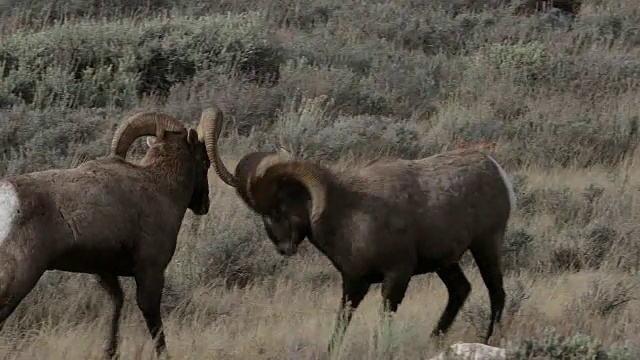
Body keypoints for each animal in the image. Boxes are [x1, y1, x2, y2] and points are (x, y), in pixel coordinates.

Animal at [0, 109, 220, 358]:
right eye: (205, 162)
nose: (204, 205)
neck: (160, 187)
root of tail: (7, 197)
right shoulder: (150, 272)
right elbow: (153, 322)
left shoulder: (104, 272)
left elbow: (116, 304)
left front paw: (110, 352)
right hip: (21, 277)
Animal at [208, 111, 516, 350]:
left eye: (277, 208)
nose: (284, 248)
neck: (348, 214)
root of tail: (494, 168)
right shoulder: (354, 283)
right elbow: (340, 325)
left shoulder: (395, 278)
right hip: (447, 263)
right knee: (461, 290)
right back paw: (434, 339)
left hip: (485, 247)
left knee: (496, 293)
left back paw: (488, 340)